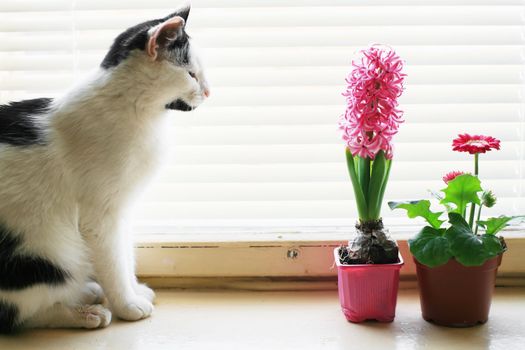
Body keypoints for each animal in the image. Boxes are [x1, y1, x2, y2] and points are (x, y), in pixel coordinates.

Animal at [0, 3, 209, 334]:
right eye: (191, 73)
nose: (209, 91)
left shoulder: (123, 209)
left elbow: (126, 256)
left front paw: (135, 291)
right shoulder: (99, 215)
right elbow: (113, 262)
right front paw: (128, 305)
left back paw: (86, 294)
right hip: (45, 251)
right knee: (17, 316)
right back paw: (83, 314)